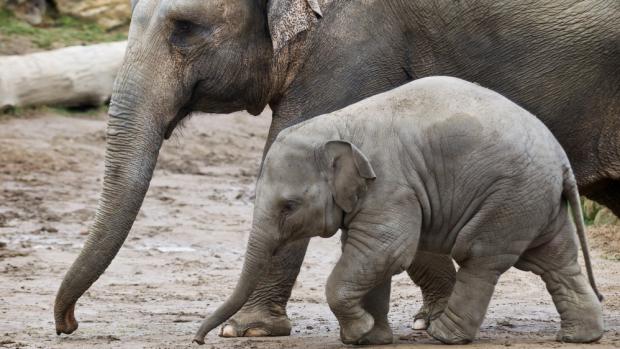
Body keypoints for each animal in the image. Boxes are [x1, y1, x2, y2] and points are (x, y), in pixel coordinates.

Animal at [196, 75, 604, 344]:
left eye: (289, 205)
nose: (201, 340)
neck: (337, 125)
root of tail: (562, 160)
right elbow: (371, 256)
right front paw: (371, 338)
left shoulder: (391, 186)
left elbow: (386, 251)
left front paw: (358, 332)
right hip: (533, 200)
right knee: (555, 260)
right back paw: (579, 337)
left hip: (509, 198)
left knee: (480, 259)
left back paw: (443, 336)